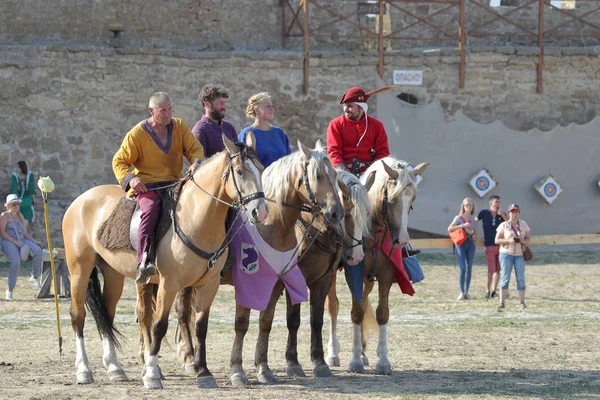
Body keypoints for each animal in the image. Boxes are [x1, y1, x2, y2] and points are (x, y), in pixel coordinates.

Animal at [62, 134, 266, 388]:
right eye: (239, 171)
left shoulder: (208, 285)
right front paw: (151, 373)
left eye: (261, 169)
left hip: (113, 274)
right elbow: (159, 324)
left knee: (107, 316)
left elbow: (200, 327)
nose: (260, 211)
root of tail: (81, 200)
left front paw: (204, 372)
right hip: (79, 270)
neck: (195, 218)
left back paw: (115, 368)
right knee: (78, 316)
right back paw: (83, 370)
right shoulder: (169, 284)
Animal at [326, 157, 428, 376]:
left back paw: (364, 353)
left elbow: (381, 313)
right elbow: (355, 313)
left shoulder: (386, 275)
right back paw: (333, 353)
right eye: (392, 200)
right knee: (333, 306)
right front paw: (355, 360)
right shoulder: (354, 274)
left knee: (364, 302)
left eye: (412, 202)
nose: (401, 240)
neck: (372, 233)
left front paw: (383, 361)